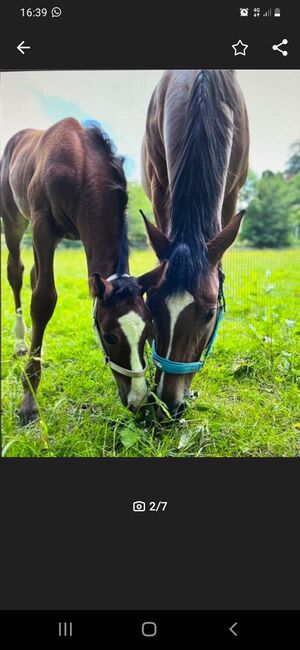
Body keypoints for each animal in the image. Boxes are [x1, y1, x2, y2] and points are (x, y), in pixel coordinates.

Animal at [1, 117, 152, 422]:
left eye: (147, 333)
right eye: (110, 336)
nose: (139, 400)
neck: (80, 164)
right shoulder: (42, 225)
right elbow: (43, 300)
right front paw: (28, 398)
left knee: (32, 274)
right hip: (14, 220)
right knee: (16, 272)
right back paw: (21, 343)